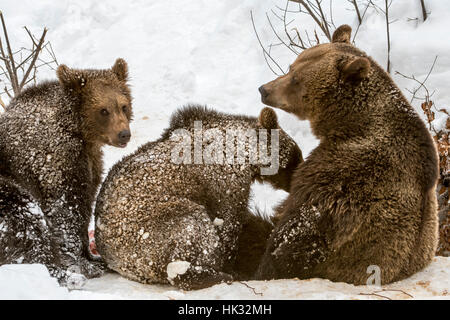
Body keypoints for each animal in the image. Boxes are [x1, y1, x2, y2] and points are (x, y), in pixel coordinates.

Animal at [0, 58, 133, 286]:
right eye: (103, 110)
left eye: (123, 106)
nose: (124, 134)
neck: (81, 134)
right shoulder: (53, 161)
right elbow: (66, 210)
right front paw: (83, 264)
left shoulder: (89, 164)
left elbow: (84, 204)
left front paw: (91, 257)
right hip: (6, 190)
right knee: (24, 220)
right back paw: (61, 273)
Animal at [96, 105, 302, 290]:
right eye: (295, 156)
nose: (296, 181)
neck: (246, 153)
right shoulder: (225, 181)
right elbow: (227, 223)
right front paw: (230, 265)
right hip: (148, 229)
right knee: (192, 226)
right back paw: (211, 275)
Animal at [256, 25, 440, 284]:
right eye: (291, 67)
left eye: (296, 79)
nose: (264, 89)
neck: (354, 122)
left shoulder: (348, 175)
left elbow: (294, 234)